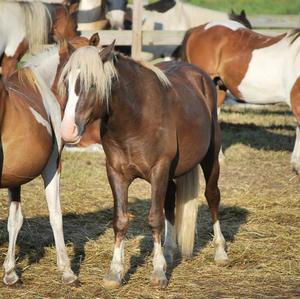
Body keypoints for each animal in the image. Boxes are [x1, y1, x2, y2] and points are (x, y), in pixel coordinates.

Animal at [0, 34, 98, 286]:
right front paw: (67, 271)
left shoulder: (15, 176)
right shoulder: (53, 166)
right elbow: (56, 215)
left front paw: (11, 272)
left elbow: (15, 220)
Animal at [59, 44, 229, 288]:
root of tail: (200, 76)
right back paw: (168, 252)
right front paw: (115, 272)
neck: (135, 118)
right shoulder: (116, 174)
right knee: (171, 199)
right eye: (67, 82)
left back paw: (220, 252)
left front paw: (158, 273)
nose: (67, 131)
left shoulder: (159, 171)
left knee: (212, 196)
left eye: (92, 84)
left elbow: (155, 219)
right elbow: (120, 221)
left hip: (210, 157)